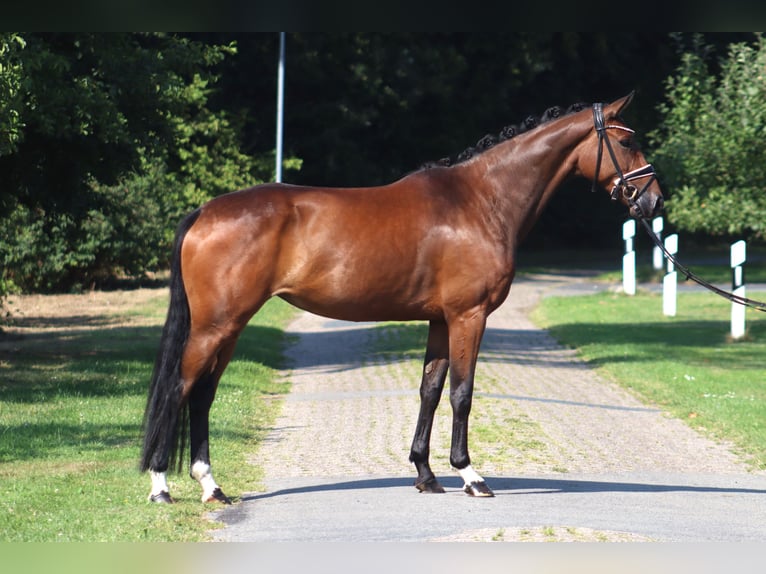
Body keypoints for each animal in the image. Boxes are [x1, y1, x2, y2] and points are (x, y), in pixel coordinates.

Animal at [142, 90, 664, 504]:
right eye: (626, 141)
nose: (653, 201)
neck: (481, 201)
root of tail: (205, 211)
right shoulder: (469, 316)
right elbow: (462, 393)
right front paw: (470, 475)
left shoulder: (440, 320)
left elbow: (430, 390)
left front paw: (426, 475)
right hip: (215, 327)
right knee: (179, 389)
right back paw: (162, 486)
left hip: (228, 328)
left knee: (203, 396)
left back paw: (211, 486)